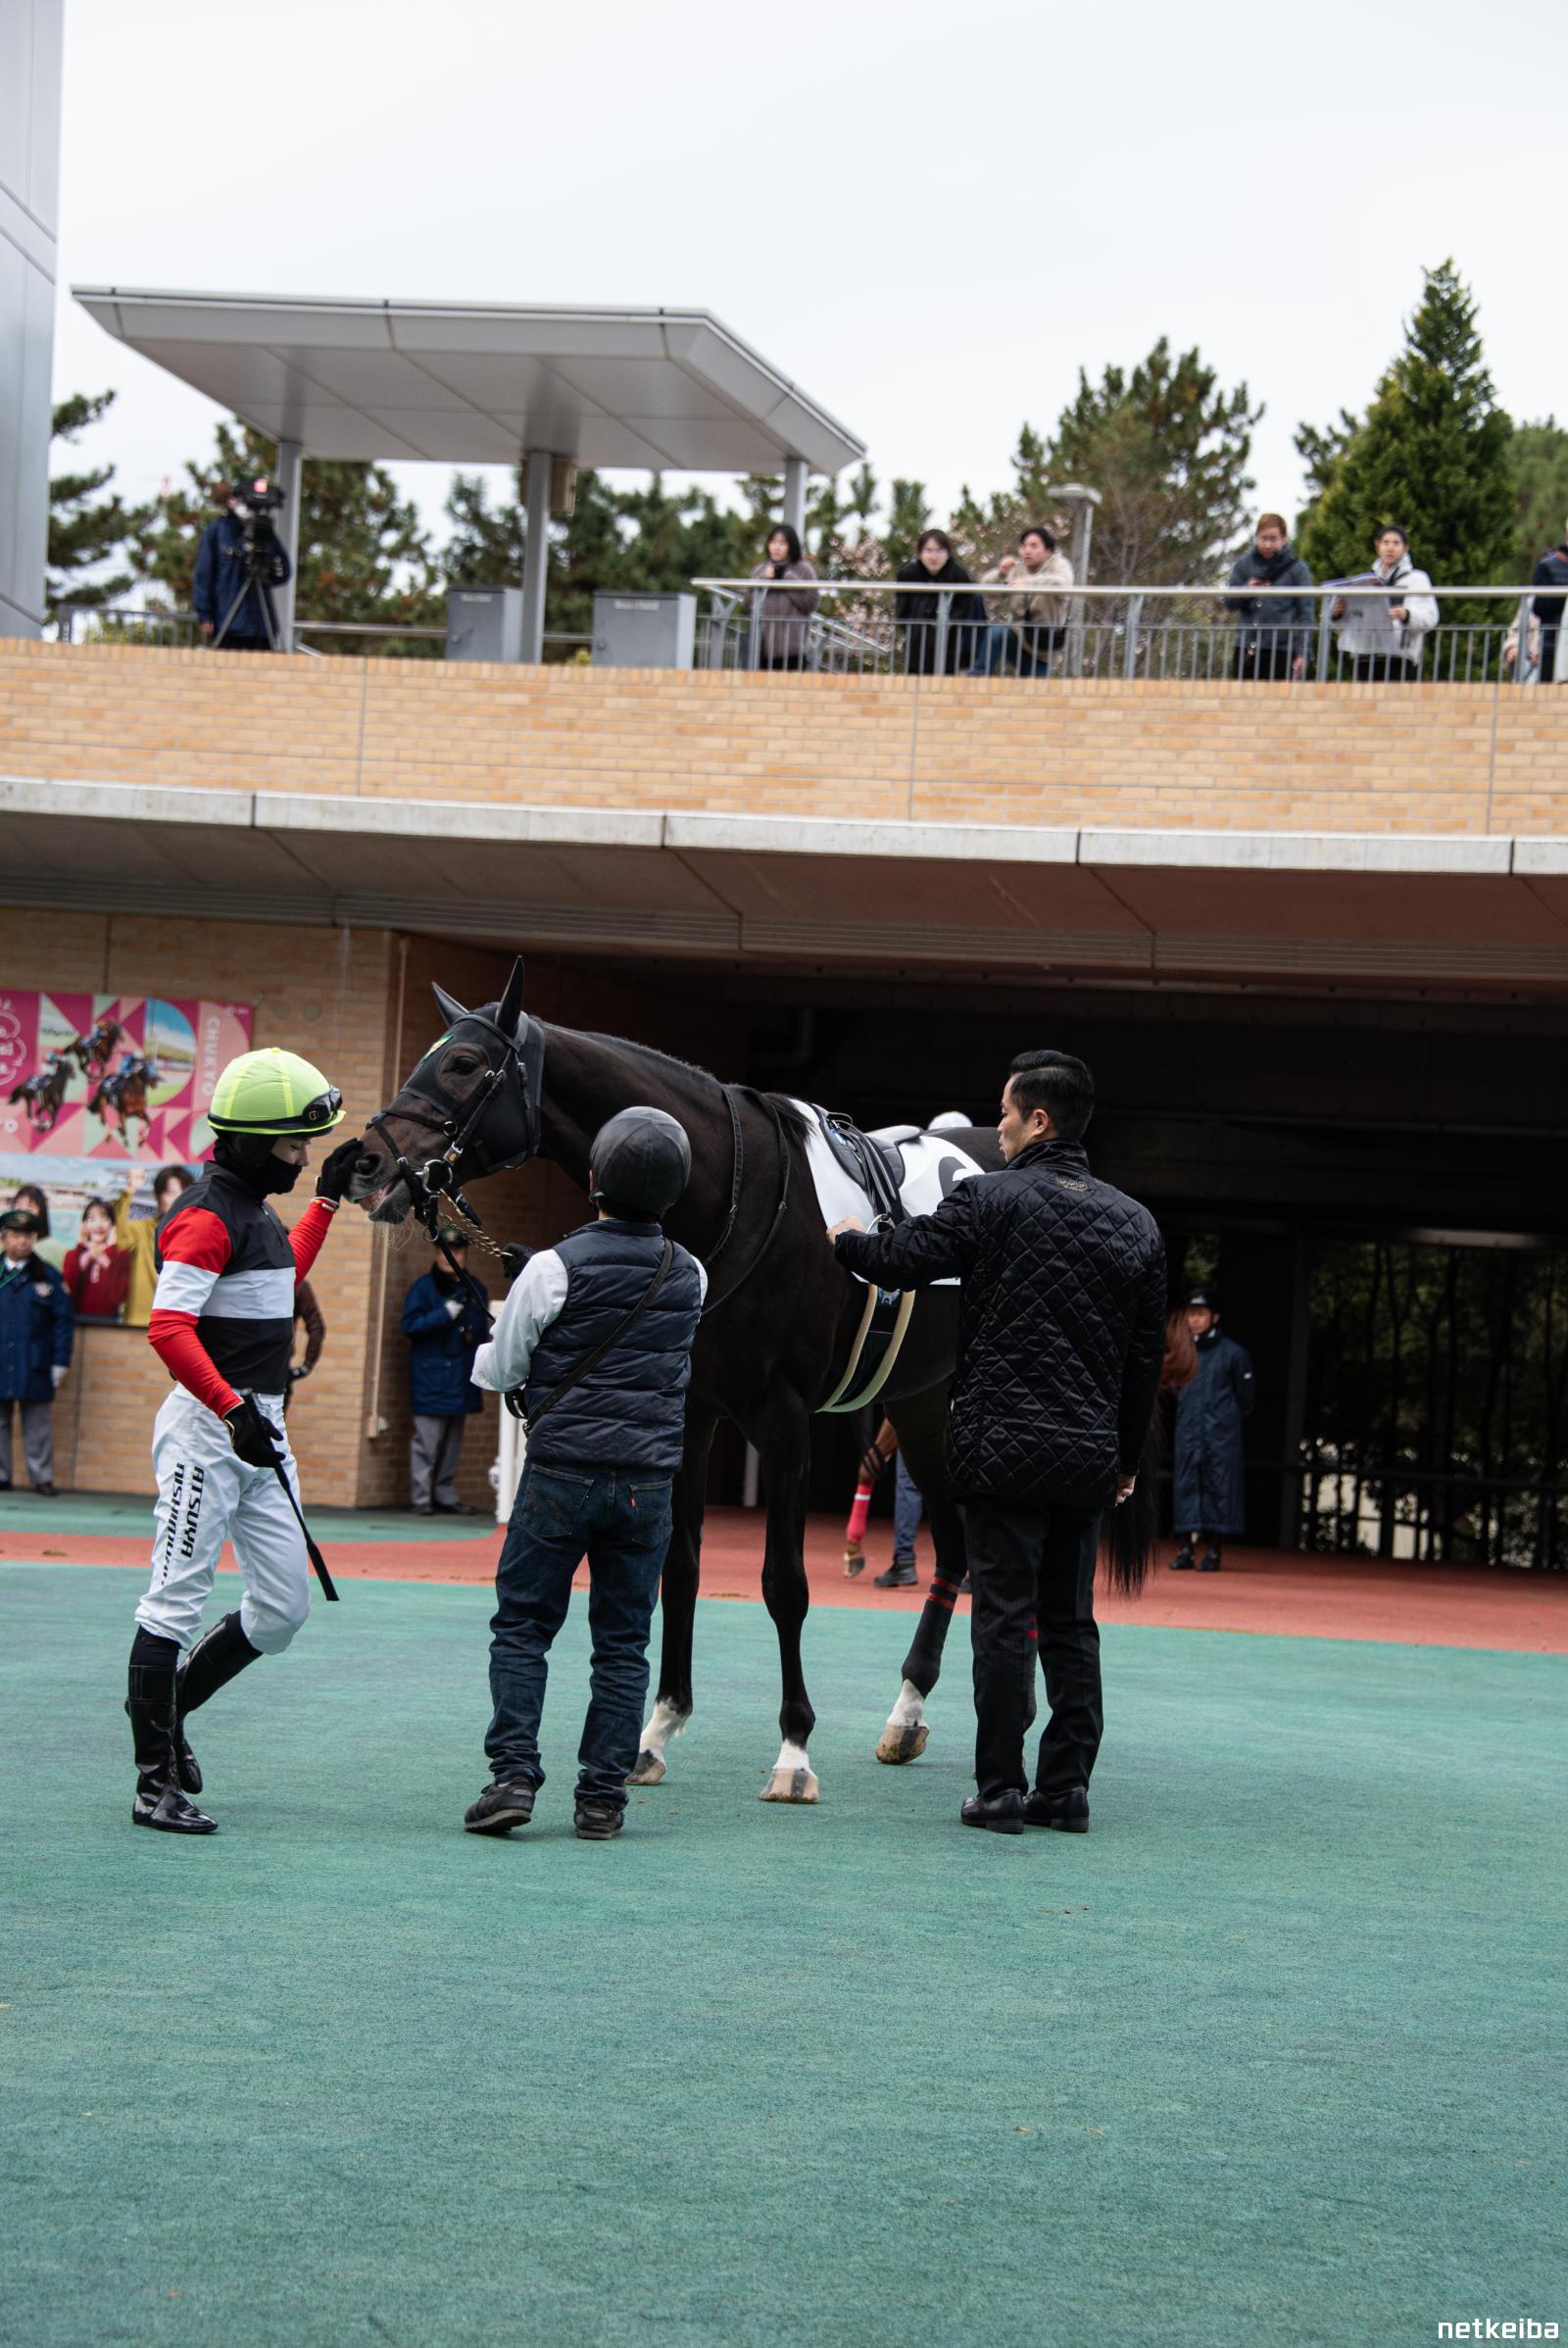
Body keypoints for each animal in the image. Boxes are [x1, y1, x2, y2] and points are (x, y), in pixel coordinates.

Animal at [346, 960, 1158, 1801]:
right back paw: (910, 1713)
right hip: (924, 1403)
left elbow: (783, 1584)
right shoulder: (691, 1412)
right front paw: (656, 1730)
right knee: (961, 1548)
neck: (729, 1195)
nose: (365, 1162)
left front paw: (794, 1750)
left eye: (464, 1064)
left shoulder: (785, 1417)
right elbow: (680, 1568)